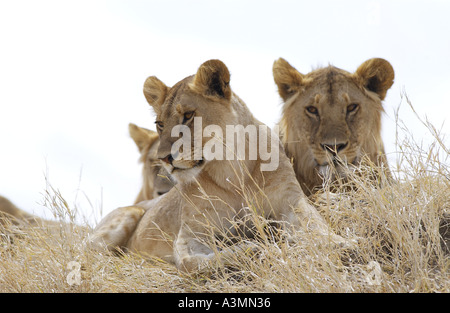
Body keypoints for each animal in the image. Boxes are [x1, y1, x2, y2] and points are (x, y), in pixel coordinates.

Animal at [90, 59, 352, 272]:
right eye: (160, 124)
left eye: (188, 115)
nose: (164, 158)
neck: (232, 169)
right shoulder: (192, 232)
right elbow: (193, 262)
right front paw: (251, 249)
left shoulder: (291, 202)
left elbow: (316, 225)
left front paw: (344, 244)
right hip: (125, 216)